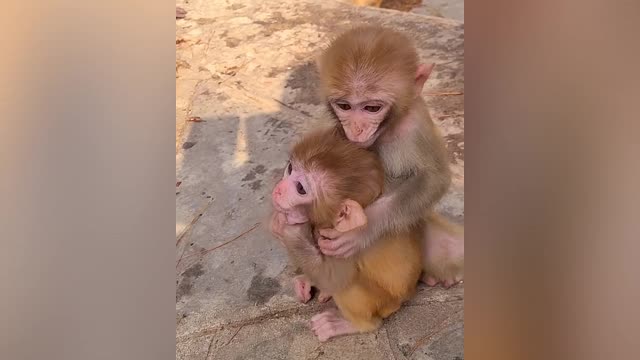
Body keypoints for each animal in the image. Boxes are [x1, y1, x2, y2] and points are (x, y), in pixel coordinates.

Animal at [268, 128, 422, 342]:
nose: (279, 189)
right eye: (290, 169)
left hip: (384, 303)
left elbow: (335, 278)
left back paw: (351, 324)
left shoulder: (344, 242)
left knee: (349, 286)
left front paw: (288, 229)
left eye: (300, 188)